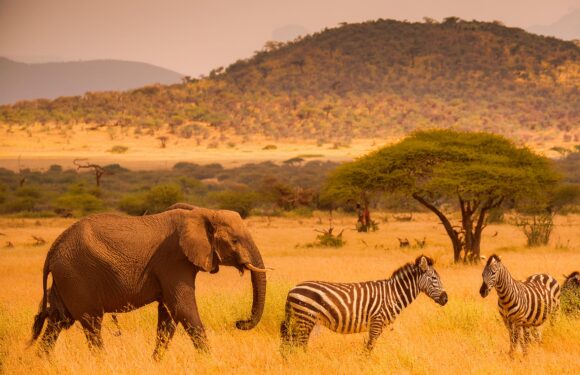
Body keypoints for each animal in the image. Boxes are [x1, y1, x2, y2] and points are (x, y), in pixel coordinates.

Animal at [29, 206, 268, 362]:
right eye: (235, 240)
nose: (239, 322)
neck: (204, 213)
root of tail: (53, 249)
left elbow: (168, 315)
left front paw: (156, 362)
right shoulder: (173, 260)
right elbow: (183, 309)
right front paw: (210, 362)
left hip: (66, 278)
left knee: (57, 321)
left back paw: (41, 362)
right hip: (76, 275)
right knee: (91, 324)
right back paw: (102, 363)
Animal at [280, 256, 448, 352]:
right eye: (434, 278)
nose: (446, 299)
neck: (393, 294)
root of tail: (292, 288)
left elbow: (369, 347)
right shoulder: (377, 322)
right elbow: (369, 348)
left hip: (303, 320)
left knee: (291, 343)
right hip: (305, 318)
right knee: (299, 344)